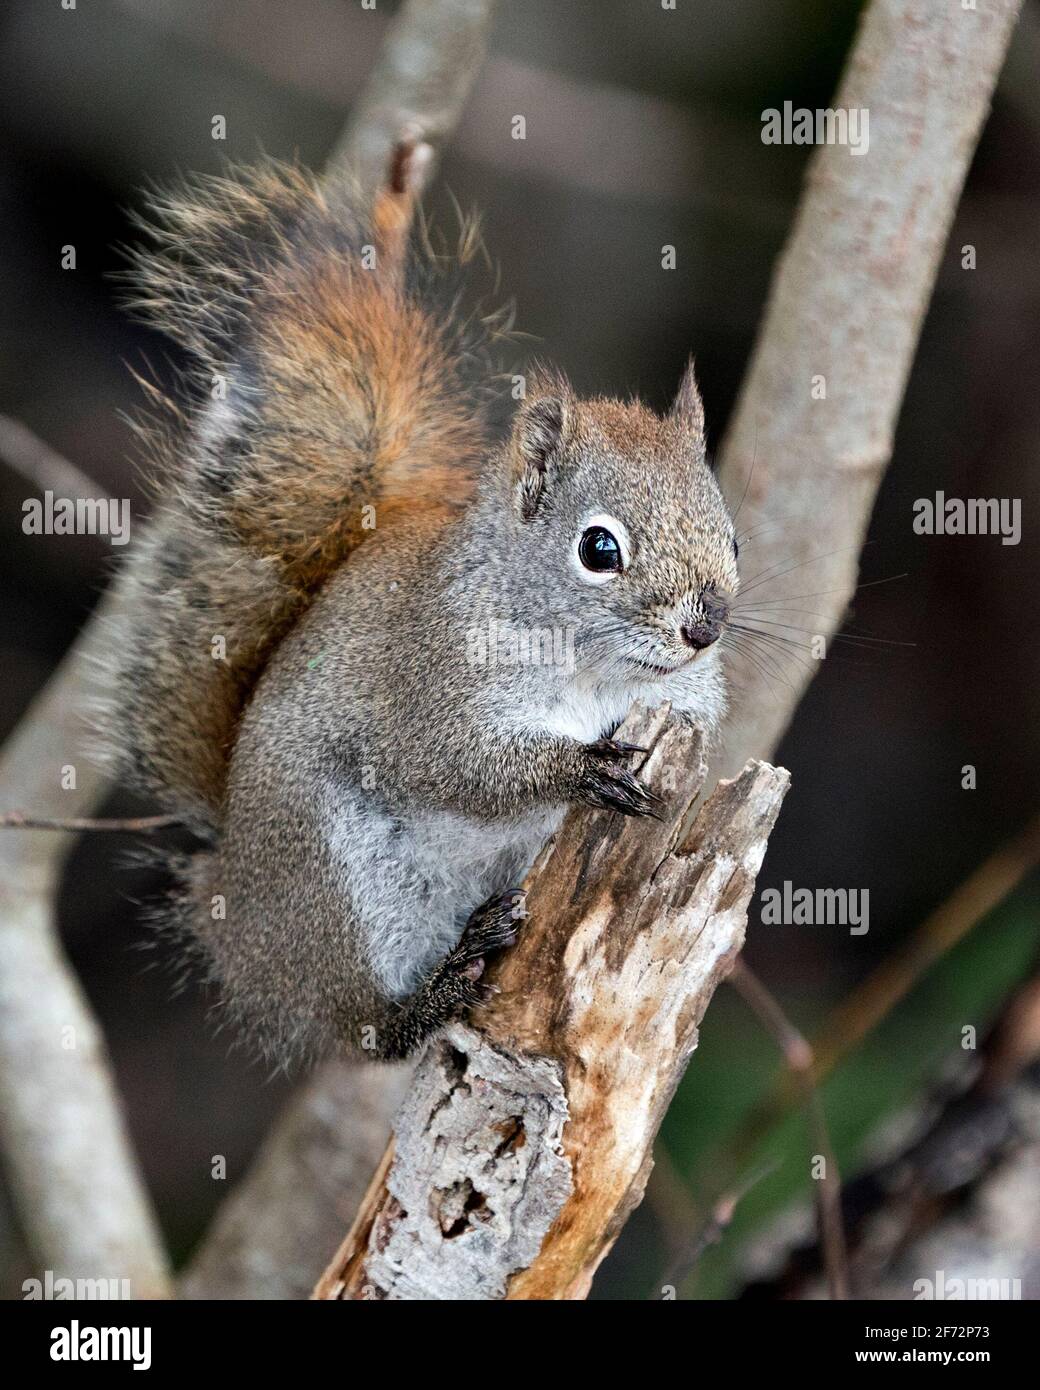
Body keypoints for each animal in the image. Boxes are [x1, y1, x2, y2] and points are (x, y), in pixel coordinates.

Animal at [114, 135, 739, 1061]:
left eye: (732, 539)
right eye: (599, 549)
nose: (704, 628)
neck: (597, 670)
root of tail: (229, 912)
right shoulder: (432, 683)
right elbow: (458, 765)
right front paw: (578, 769)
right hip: (334, 884)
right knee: (367, 1029)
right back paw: (433, 990)